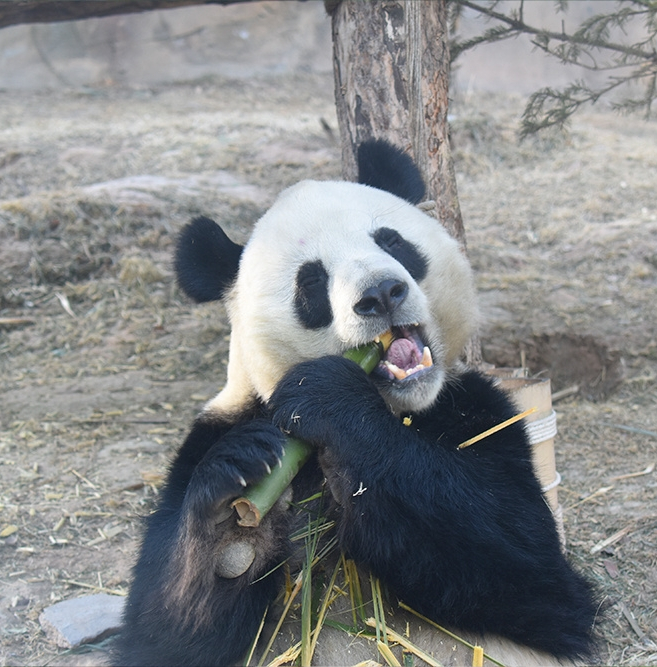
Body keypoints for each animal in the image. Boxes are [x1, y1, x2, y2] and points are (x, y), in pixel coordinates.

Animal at [112, 140, 597, 667]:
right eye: (311, 282)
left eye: (392, 242)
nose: (381, 293)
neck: (402, 408)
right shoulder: (218, 427)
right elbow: (166, 636)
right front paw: (231, 509)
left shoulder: (481, 413)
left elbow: (531, 569)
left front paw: (328, 397)